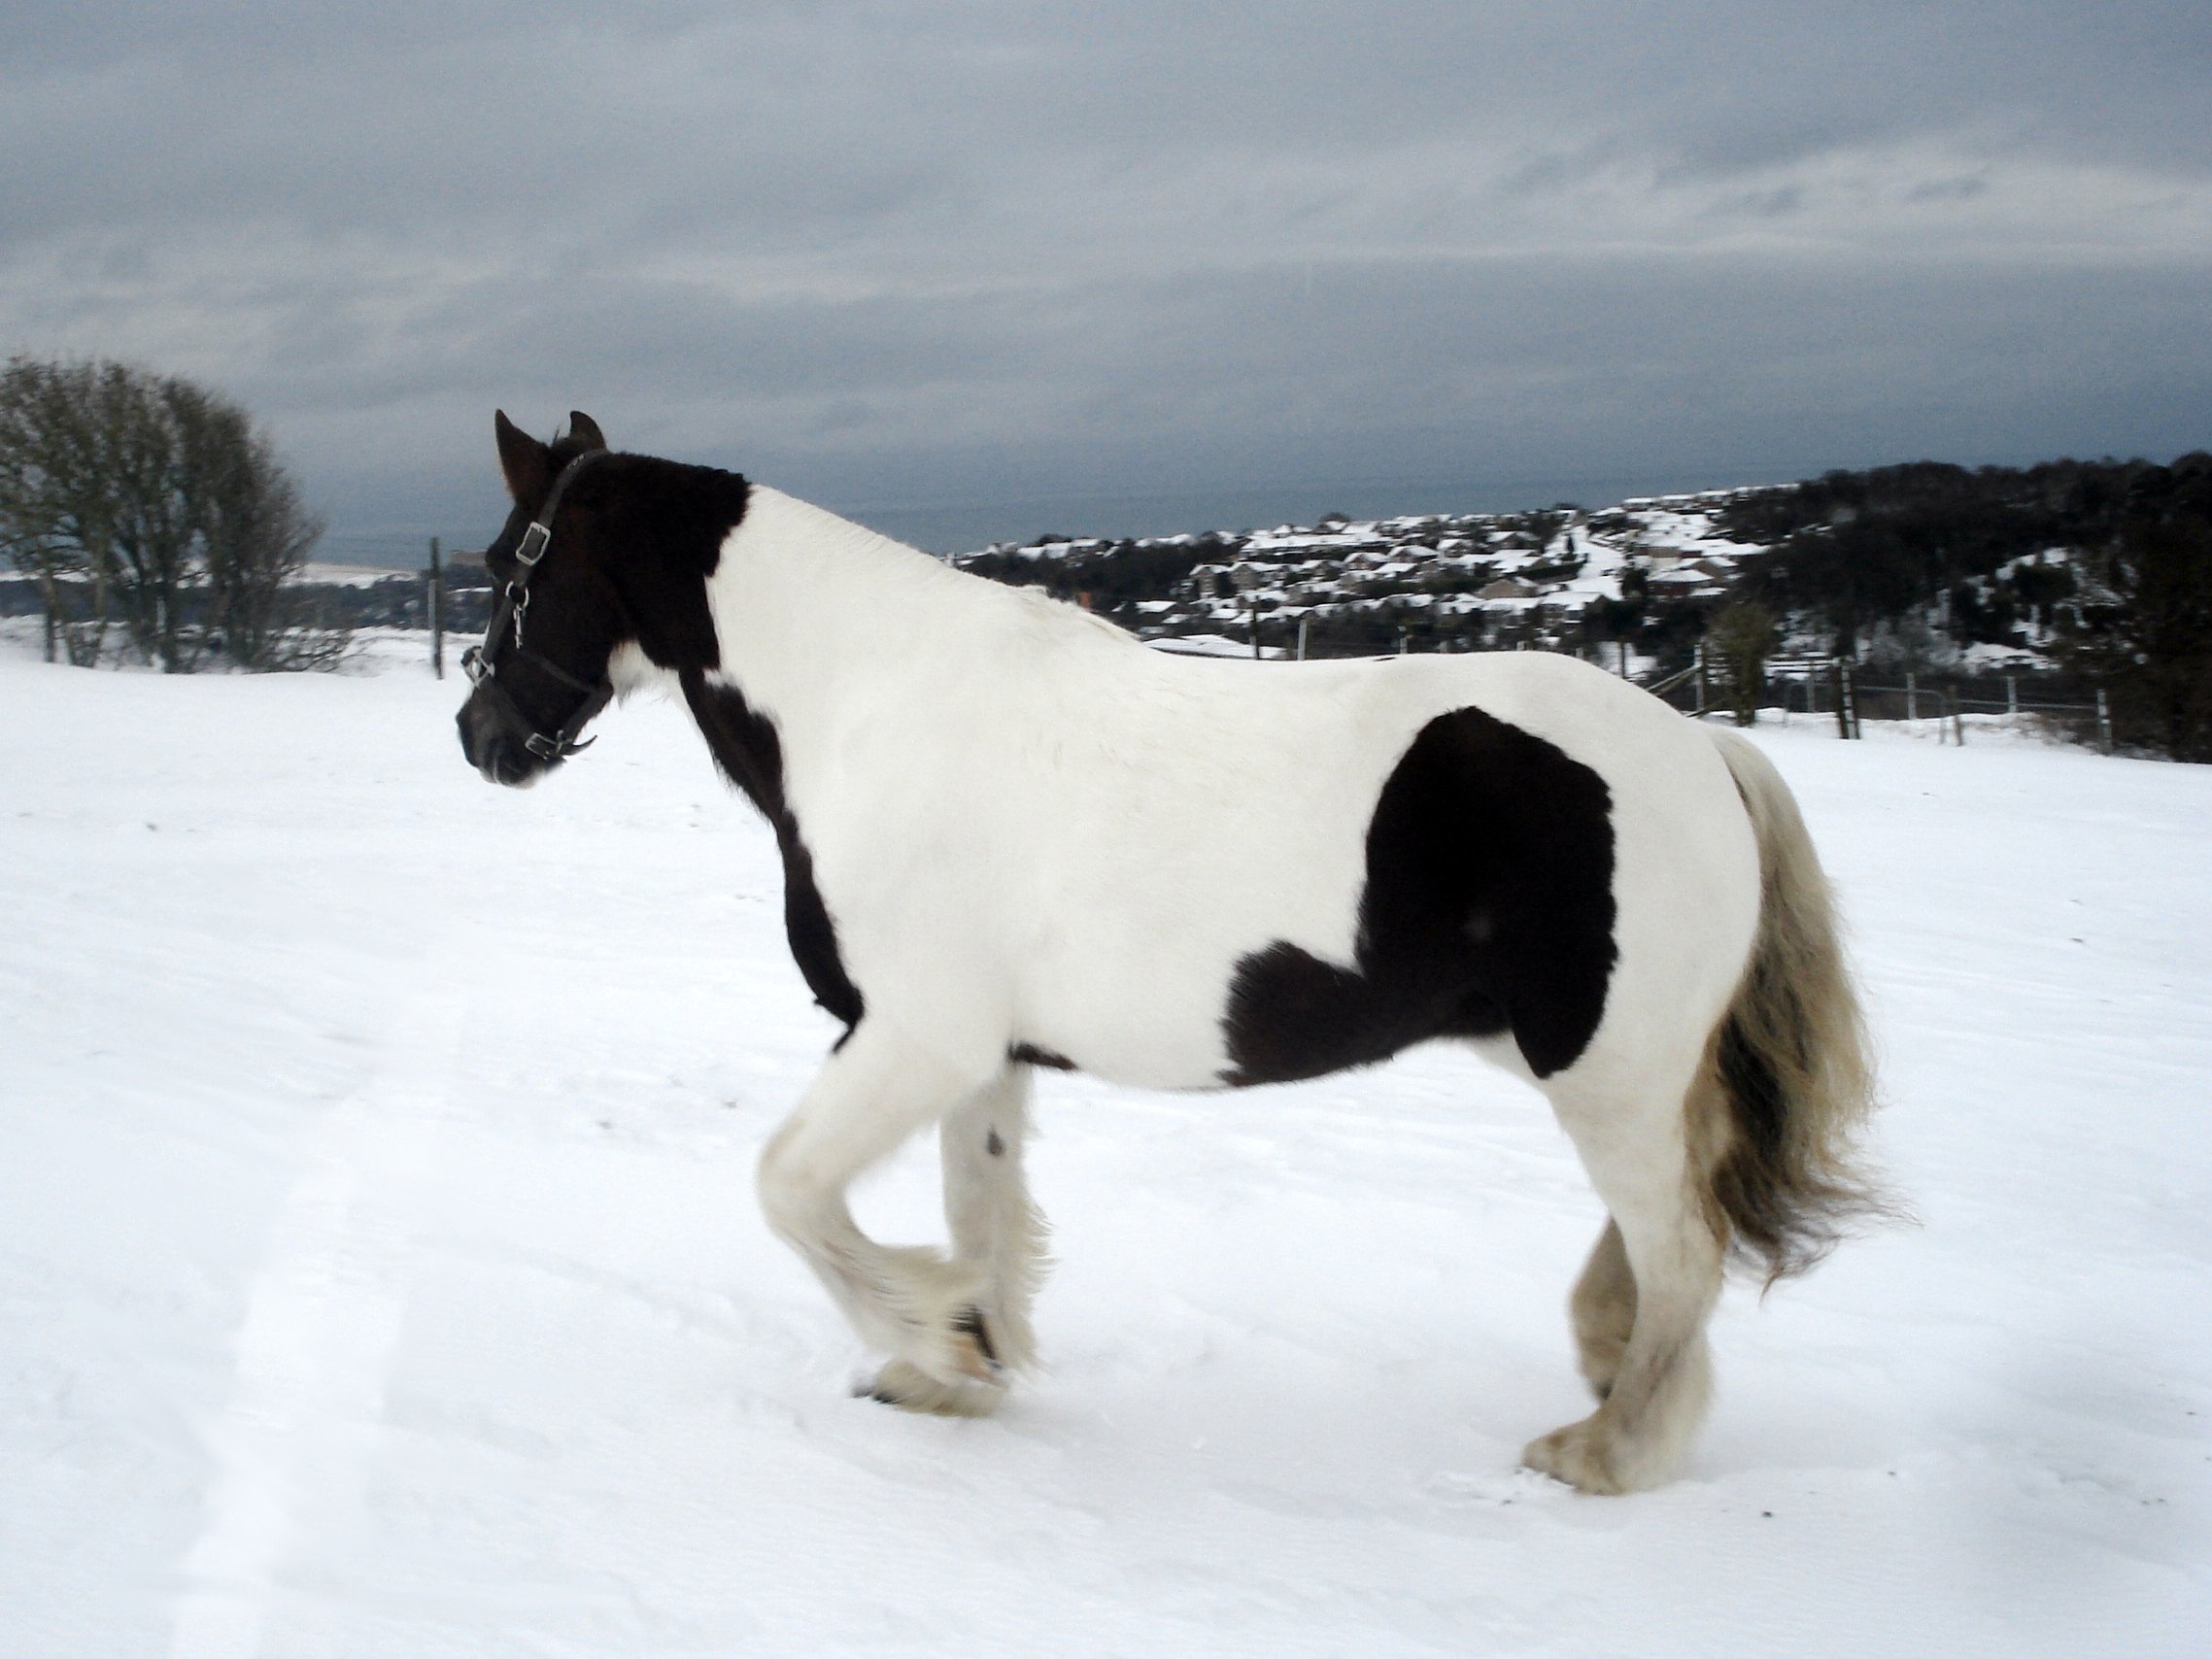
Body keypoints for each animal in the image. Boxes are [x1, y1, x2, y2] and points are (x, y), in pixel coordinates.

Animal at [455, 411, 1883, 1494]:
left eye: (511, 564)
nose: (481, 734)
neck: (868, 706)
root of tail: (1704, 748)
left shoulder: (912, 1036)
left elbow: (790, 1190)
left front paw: (931, 1337)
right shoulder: (978, 1056)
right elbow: (978, 1207)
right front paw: (960, 1363)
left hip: (1605, 1069)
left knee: (1682, 1241)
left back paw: (1610, 1447)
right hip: (1578, 1059)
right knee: (1673, 1218)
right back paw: (1603, 1354)